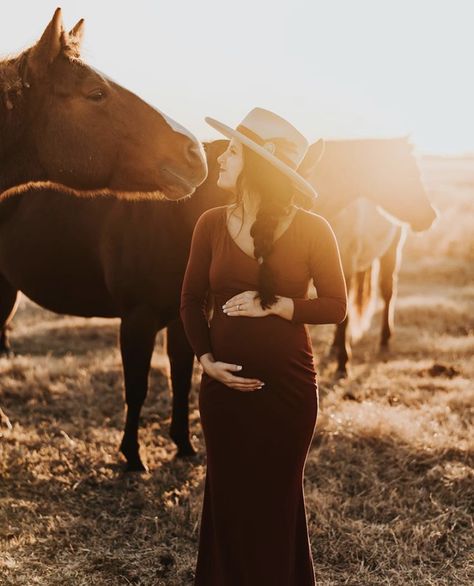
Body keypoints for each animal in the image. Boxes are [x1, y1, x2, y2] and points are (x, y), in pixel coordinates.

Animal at [0, 140, 230, 470]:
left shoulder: (182, 320)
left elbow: (181, 380)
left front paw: (183, 444)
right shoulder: (138, 319)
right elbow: (136, 388)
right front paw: (132, 455)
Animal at [298, 136, 438, 374]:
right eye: (411, 174)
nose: (429, 217)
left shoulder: (344, 263)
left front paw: (343, 362)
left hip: (391, 252)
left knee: (387, 292)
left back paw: (383, 342)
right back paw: (334, 347)